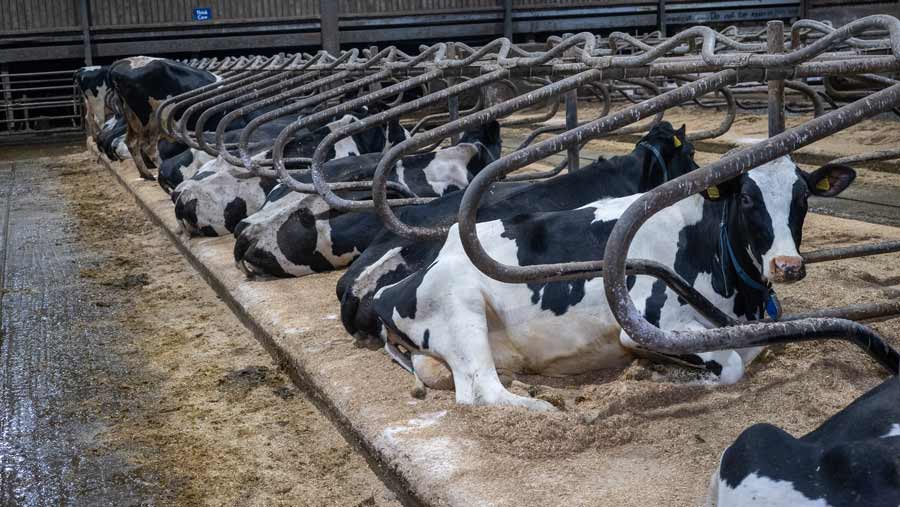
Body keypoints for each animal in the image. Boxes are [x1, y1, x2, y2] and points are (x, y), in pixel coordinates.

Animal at [370, 154, 856, 408]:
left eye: (803, 197)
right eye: (749, 200)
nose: (787, 265)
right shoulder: (648, 321)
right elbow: (732, 365)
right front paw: (666, 373)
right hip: (462, 303)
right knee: (481, 392)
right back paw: (545, 405)